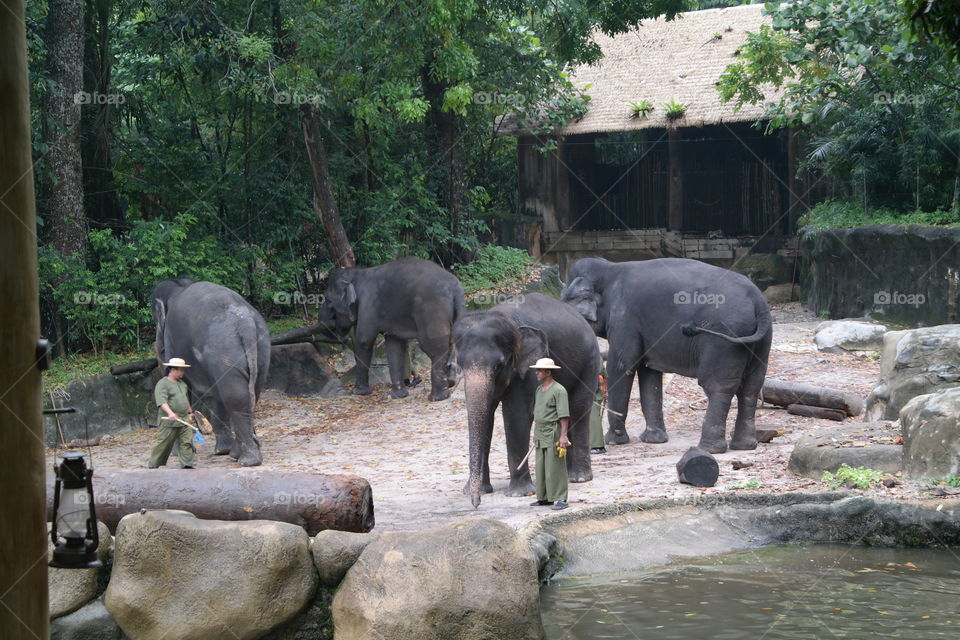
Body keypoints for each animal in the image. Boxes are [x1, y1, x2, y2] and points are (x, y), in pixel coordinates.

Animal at [152, 279, 271, 466]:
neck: (179, 286)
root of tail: (246, 322)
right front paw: (221, 451)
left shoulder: (171, 338)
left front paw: (175, 453)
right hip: (261, 348)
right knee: (249, 393)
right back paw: (237, 453)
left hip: (224, 349)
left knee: (234, 396)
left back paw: (247, 461)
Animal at [318, 257, 465, 401]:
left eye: (327, 299)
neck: (358, 273)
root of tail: (455, 287)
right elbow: (394, 345)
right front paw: (397, 395)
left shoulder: (368, 305)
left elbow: (364, 341)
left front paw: (358, 392)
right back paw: (450, 381)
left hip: (431, 311)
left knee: (434, 349)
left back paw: (437, 397)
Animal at [453, 293, 600, 507]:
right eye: (460, 365)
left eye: (498, 365)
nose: (476, 503)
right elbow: (486, 417)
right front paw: (481, 490)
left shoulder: (528, 368)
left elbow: (516, 415)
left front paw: (519, 494)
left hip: (589, 361)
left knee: (578, 408)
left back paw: (579, 478)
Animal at [560, 257, 772, 454]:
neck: (609, 269)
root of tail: (758, 301)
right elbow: (649, 373)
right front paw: (654, 440)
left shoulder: (624, 319)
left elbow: (622, 366)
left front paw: (614, 441)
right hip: (760, 342)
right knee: (751, 387)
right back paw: (744, 446)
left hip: (724, 340)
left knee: (718, 387)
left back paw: (709, 449)